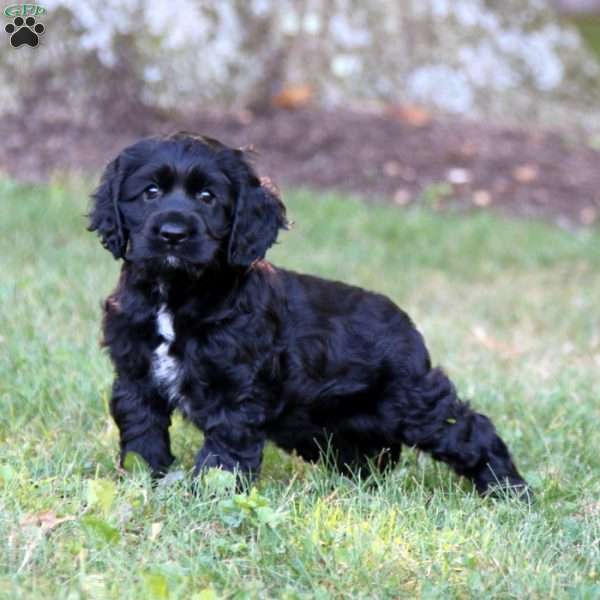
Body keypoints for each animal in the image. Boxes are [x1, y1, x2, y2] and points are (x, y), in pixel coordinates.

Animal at [89, 135, 528, 496]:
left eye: (208, 196)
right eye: (150, 192)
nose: (173, 234)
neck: (177, 294)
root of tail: (407, 325)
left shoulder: (237, 390)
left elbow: (224, 452)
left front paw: (206, 497)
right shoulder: (136, 378)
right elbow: (143, 433)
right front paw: (143, 481)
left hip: (412, 401)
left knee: (469, 429)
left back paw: (509, 490)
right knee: (372, 455)